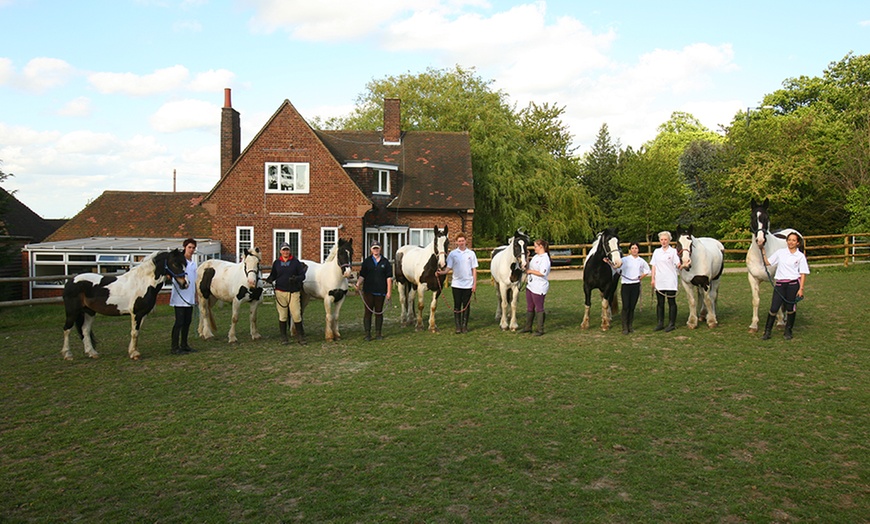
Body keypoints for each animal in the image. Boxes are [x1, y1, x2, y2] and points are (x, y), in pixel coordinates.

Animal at [61, 250, 191, 360]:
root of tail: (70, 281)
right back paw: (68, 354)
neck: (142, 283)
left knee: (85, 330)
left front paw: (132, 351)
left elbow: (136, 332)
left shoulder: (142, 314)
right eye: (175, 264)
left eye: (185, 264)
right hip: (72, 312)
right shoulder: (136, 313)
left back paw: (92, 353)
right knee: (67, 329)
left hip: (89, 312)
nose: (185, 284)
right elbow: (134, 332)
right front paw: (134, 354)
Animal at [748, 199, 804, 334]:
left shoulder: (776, 279)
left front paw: (779, 322)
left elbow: (778, 299)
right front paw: (754, 325)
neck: (761, 256)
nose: (760, 240)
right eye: (752, 217)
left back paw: (784, 319)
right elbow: (756, 300)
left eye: (767, 217)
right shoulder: (753, 278)